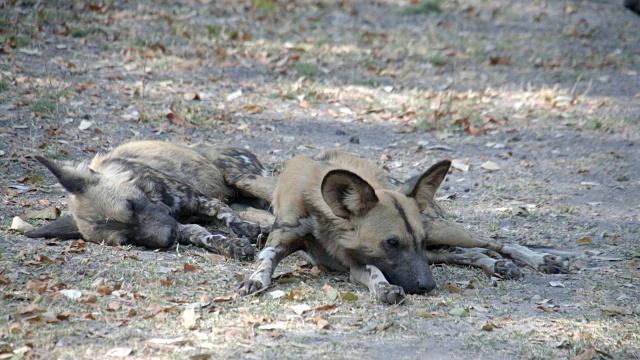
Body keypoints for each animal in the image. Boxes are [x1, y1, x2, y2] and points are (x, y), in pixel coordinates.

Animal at [25, 139, 276, 260]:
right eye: (127, 239)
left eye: (131, 205)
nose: (168, 237)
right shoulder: (181, 225)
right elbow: (204, 236)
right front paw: (231, 245)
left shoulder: (200, 199)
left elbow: (227, 217)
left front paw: (247, 231)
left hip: (244, 180)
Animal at [240, 149, 568, 304]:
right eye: (392, 243)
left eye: (415, 242)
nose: (428, 286)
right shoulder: (343, 257)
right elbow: (266, 257)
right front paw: (255, 279)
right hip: (436, 248)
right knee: (468, 254)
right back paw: (498, 266)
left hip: (438, 231)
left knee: (493, 242)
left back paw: (537, 260)